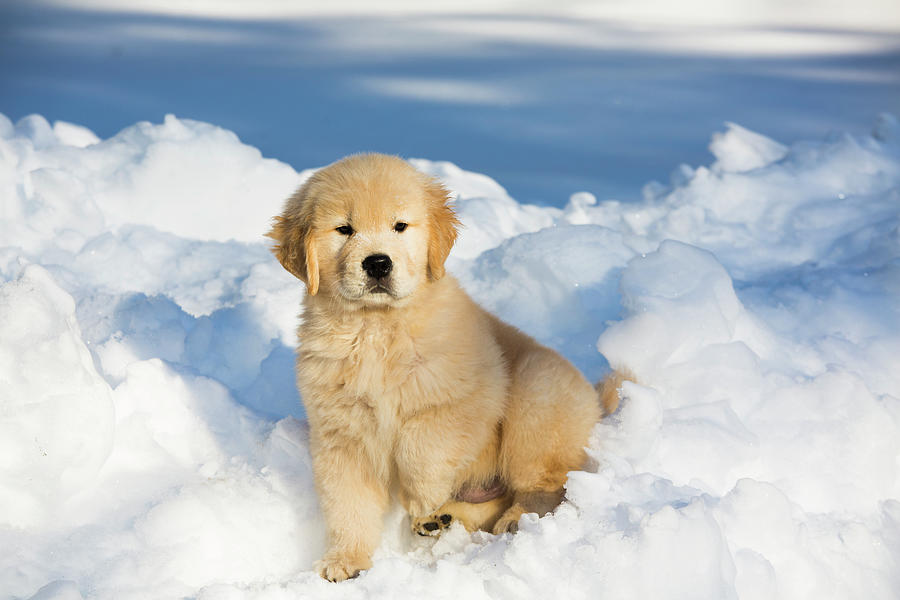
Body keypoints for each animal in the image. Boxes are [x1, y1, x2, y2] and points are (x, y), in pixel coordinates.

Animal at [268, 154, 620, 580]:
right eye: (344, 229)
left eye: (400, 226)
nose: (377, 263)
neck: (376, 328)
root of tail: (596, 403)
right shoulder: (342, 436)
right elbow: (347, 505)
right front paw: (345, 560)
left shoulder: (468, 399)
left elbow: (422, 441)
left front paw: (421, 496)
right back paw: (442, 520)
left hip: (536, 401)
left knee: (547, 484)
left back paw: (510, 519)